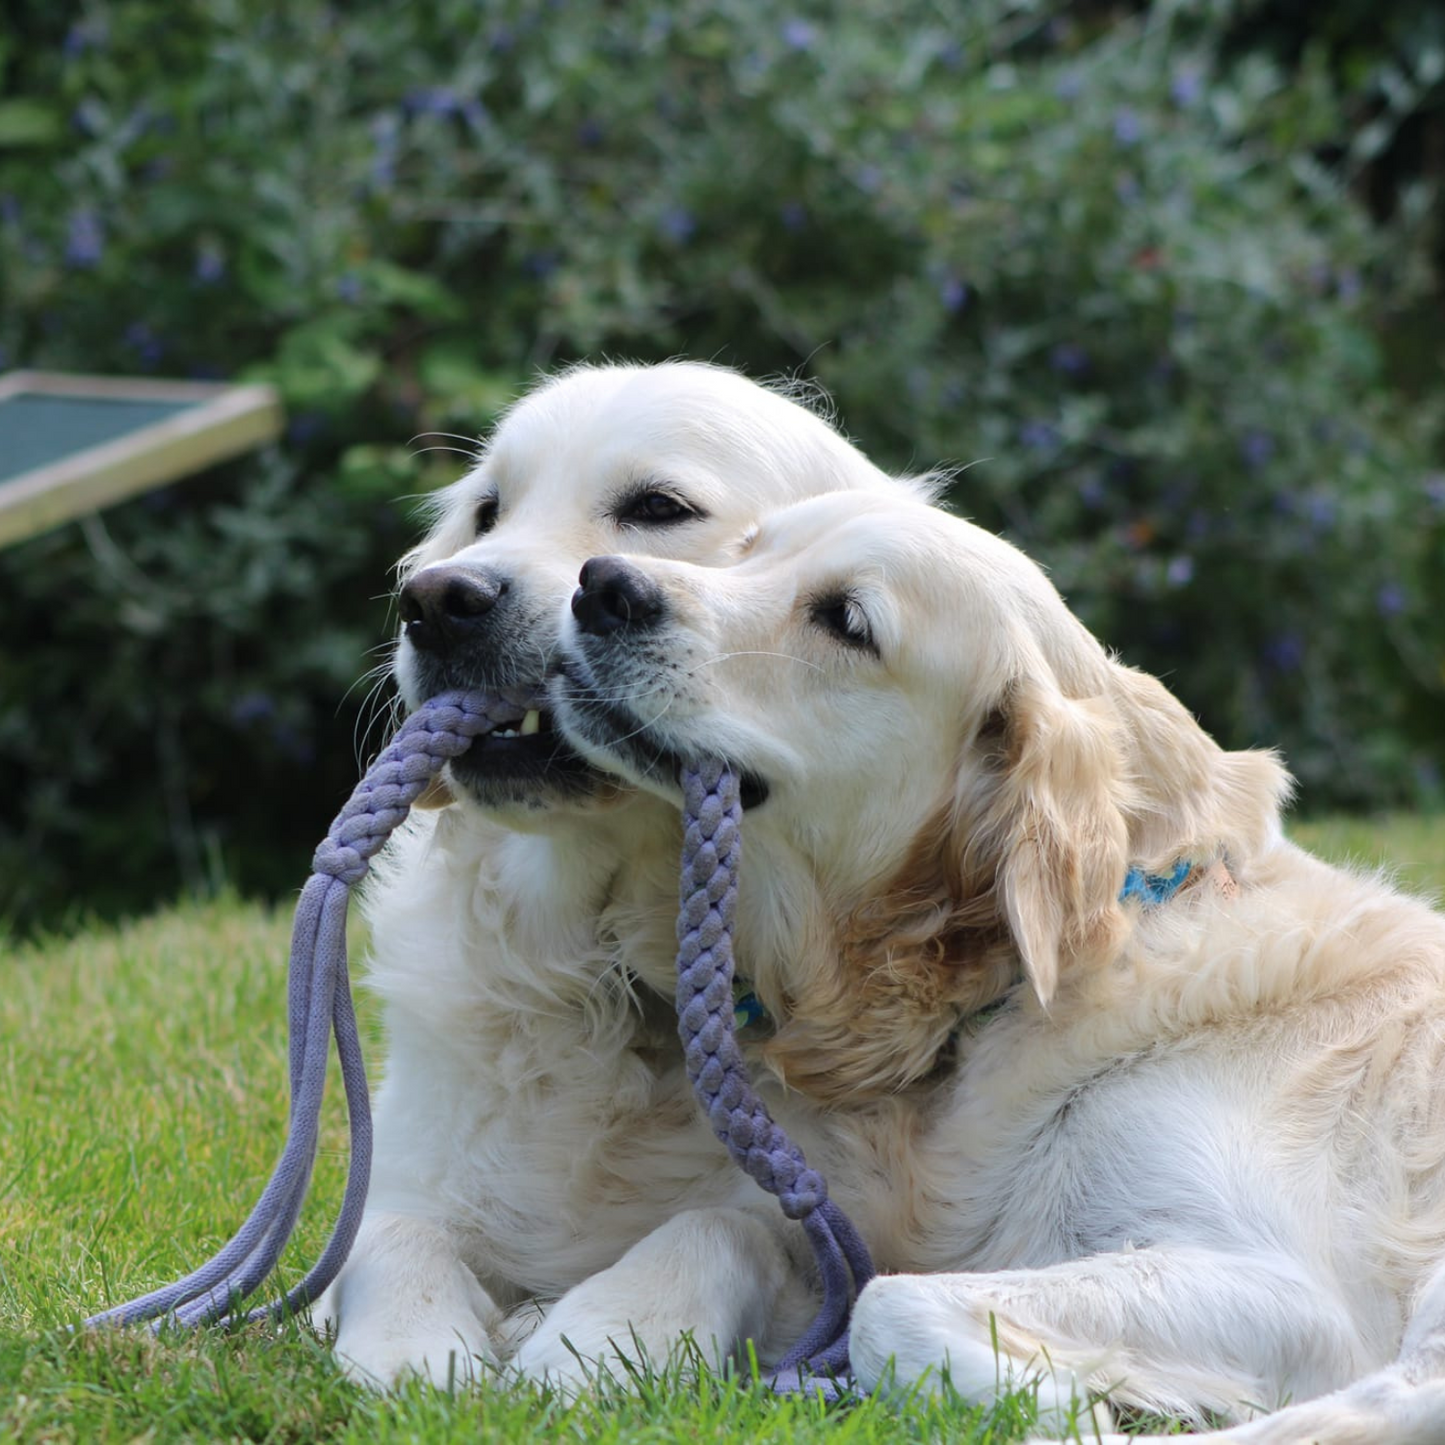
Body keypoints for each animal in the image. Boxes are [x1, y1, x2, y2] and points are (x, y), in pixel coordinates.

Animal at [312, 361, 930, 1387]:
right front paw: (413, 1350)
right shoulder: (405, 1174)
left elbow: (721, 1225)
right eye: (487, 511)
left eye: (657, 507)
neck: (609, 973)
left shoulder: (845, 1230)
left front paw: (591, 1338)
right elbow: (391, 1233)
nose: (436, 598)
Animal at [546, 491, 1445, 1439]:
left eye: (846, 622)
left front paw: (1064, 1406)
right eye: (747, 549)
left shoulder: (1288, 1288)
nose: (601, 586)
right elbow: (729, 1227)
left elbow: (890, 1304)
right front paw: (586, 1339)